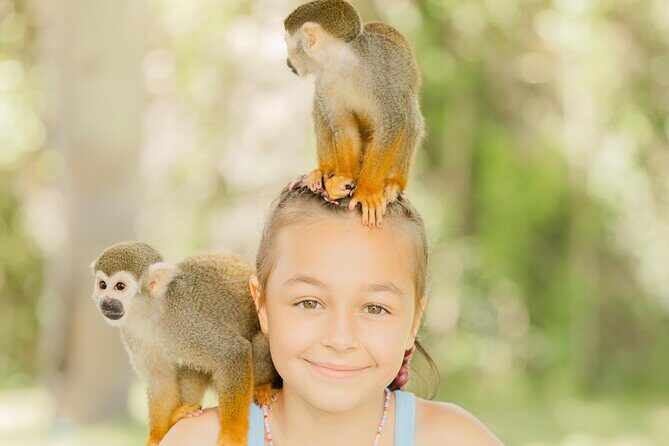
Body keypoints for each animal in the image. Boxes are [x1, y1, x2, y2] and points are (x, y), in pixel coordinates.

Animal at [90, 241, 280, 446]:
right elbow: (161, 379)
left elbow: (233, 353)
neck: (152, 312)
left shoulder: (185, 320)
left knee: (260, 340)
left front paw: (232, 436)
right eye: (102, 285)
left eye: (120, 286)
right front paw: (156, 437)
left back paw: (262, 387)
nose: (106, 302)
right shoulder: (132, 333)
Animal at [284, 0, 425, 228]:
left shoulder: (379, 73)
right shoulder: (325, 81)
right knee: (320, 106)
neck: (344, 66)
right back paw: (324, 171)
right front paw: (342, 178)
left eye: (288, 44)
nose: (288, 62)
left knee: (407, 105)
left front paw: (367, 192)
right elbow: (344, 127)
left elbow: (392, 122)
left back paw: (393, 183)